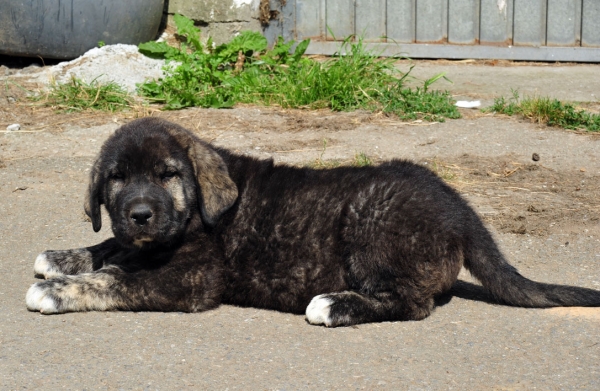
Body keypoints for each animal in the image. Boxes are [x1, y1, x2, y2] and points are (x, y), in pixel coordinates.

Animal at [25, 118, 600, 326]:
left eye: (168, 175)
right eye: (117, 179)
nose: (140, 214)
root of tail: (459, 206)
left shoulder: (190, 280)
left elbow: (116, 280)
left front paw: (59, 289)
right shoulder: (142, 245)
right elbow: (112, 249)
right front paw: (64, 256)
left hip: (373, 222)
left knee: (412, 303)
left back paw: (336, 304)